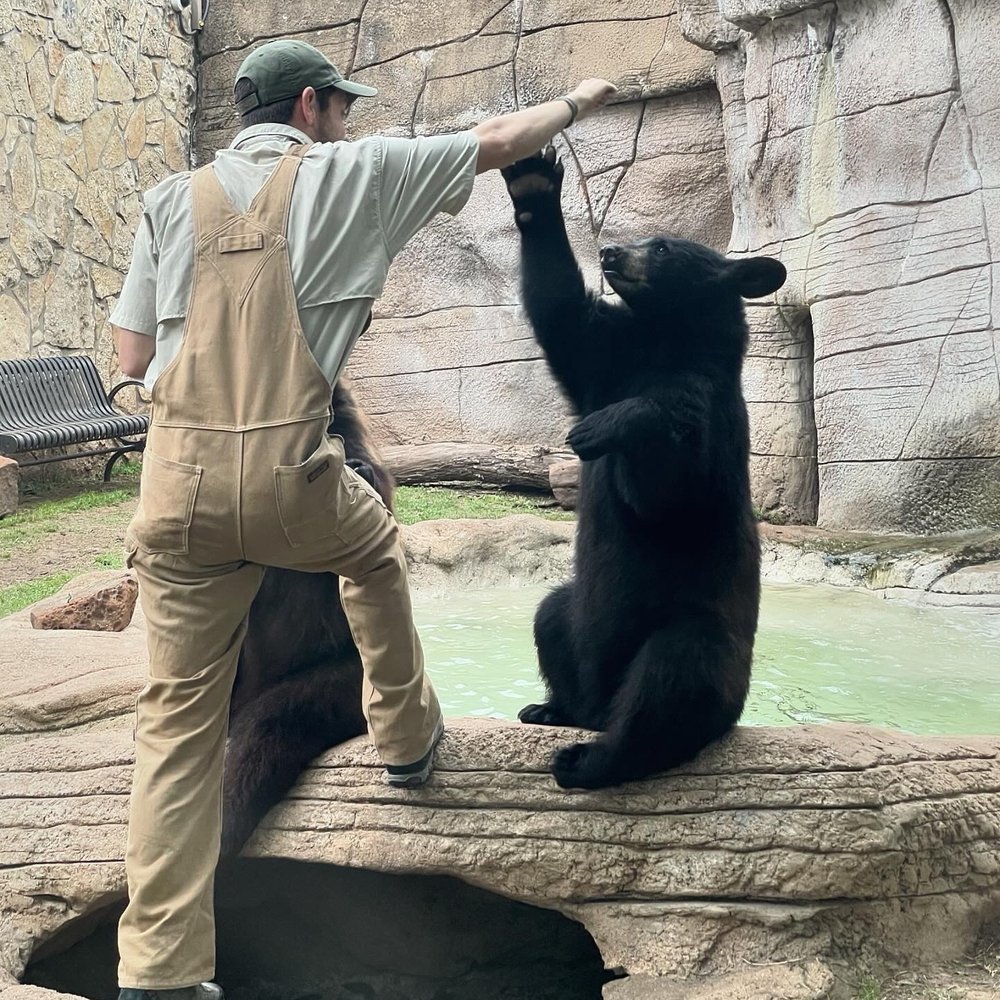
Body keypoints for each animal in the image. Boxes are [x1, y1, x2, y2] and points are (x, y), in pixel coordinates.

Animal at [500, 146, 787, 791]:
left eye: (662, 249)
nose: (610, 252)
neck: (662, 340)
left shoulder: (709, 413)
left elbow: (669, 490)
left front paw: (602, 429)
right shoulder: (607, 358)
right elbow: (564, 317)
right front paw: (533, 179)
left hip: (698, 636)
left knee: (670, 678)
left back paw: (589, 760)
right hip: (577, 621)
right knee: (551, 616)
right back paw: (553, 709)